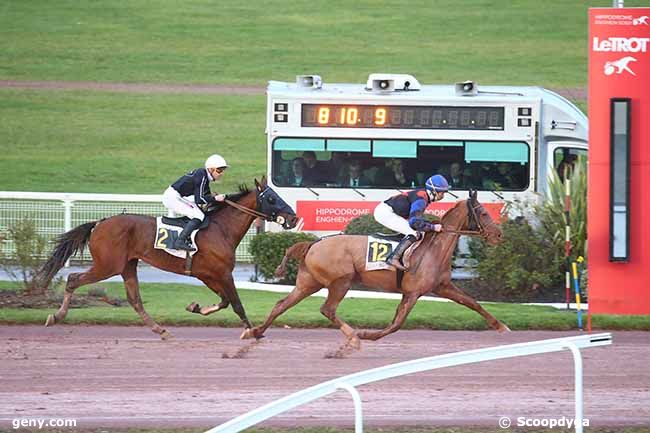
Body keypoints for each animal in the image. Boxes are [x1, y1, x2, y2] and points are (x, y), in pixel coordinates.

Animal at [36, 176, 294, 338]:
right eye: (272, 198)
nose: (292, 218)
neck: (221, 229)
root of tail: (100, 223)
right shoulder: (222, 273)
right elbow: (237, 304)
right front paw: (252, 331)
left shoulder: (208, 275)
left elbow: (224, 301)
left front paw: (195, 307)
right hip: (107, 265)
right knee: (73, 279)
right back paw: (56, 316)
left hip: (127, 265)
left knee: (135, 300)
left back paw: (160, 330)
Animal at [242, 191, 506, 346]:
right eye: (483, 213)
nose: (499, 235)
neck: (433, 248)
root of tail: (313, 243)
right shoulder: (413, 292)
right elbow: (397, 324)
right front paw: (368, 335)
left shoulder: (443, 287)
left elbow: (472, 303)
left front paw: (500, 326)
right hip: (341, 281)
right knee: (327, 309)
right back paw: (353, 335)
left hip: (308, 283)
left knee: (281, 305)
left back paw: (255, 331)